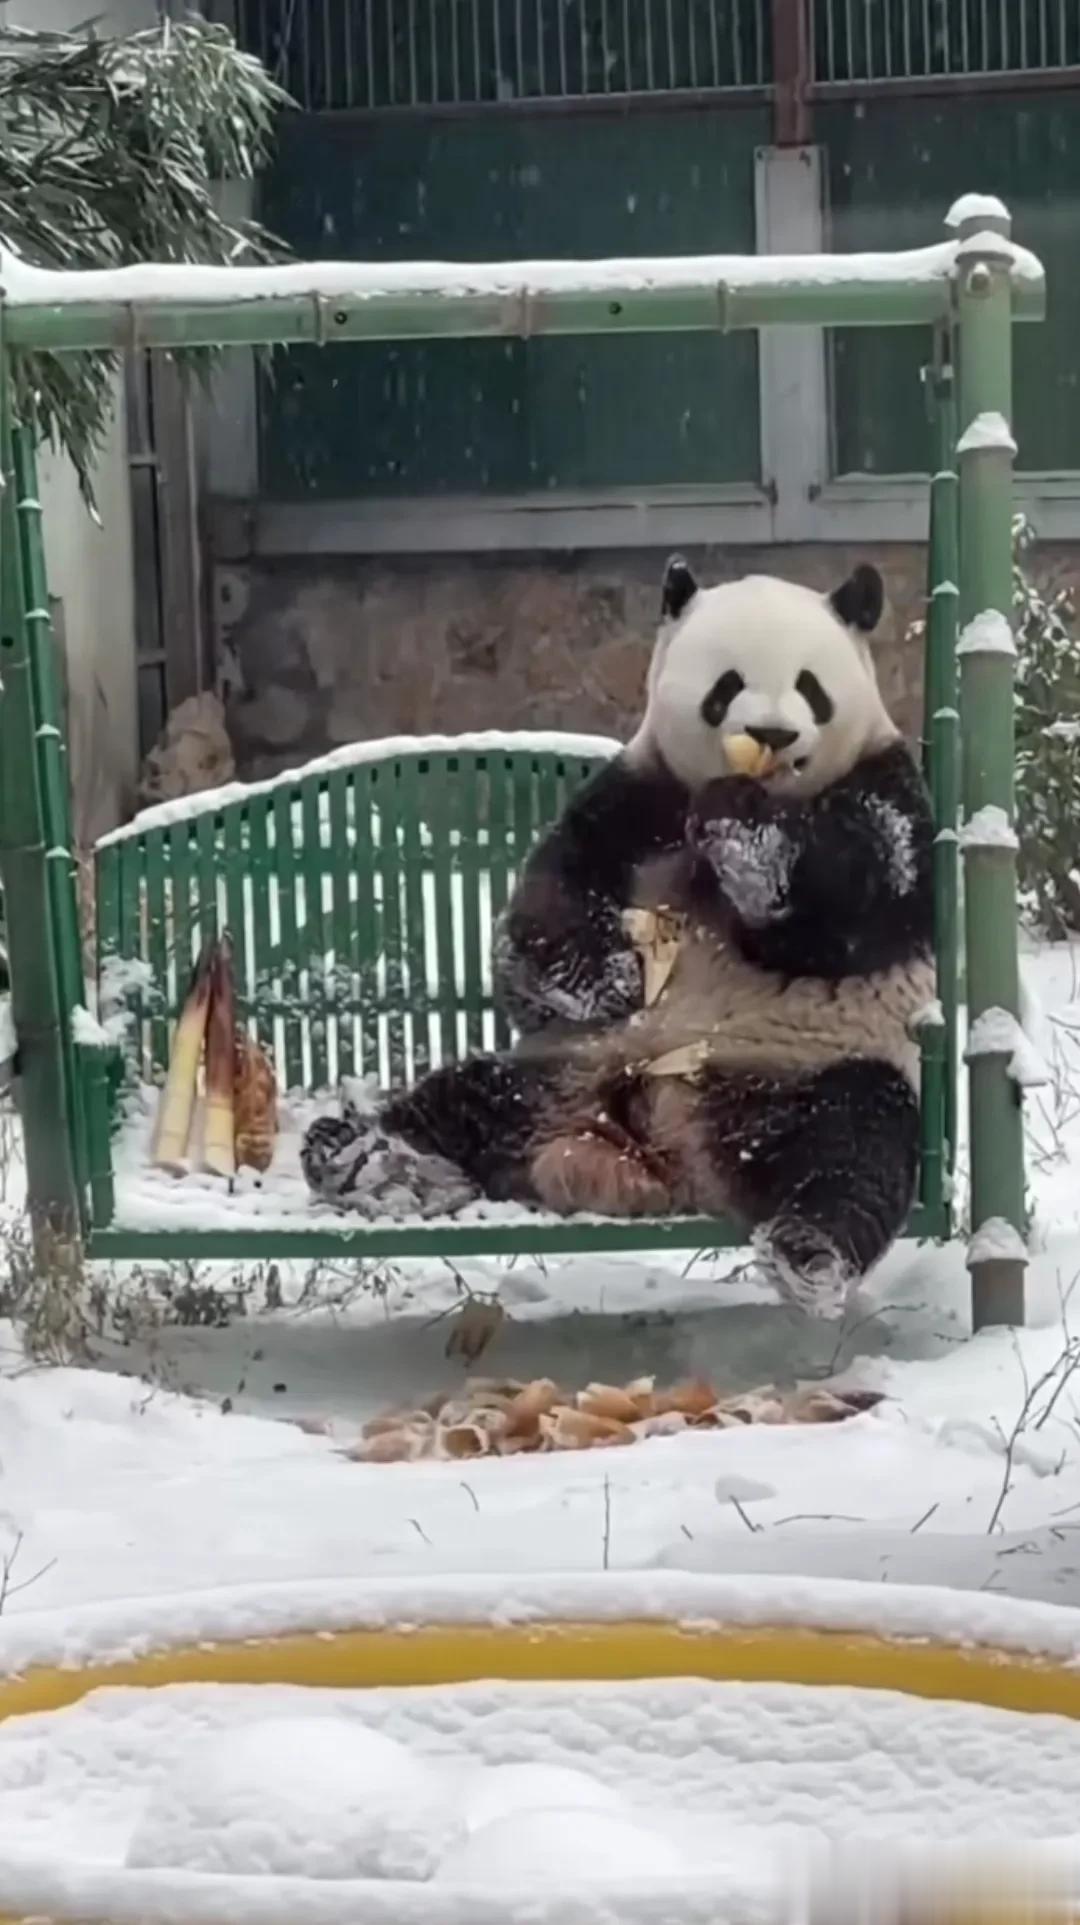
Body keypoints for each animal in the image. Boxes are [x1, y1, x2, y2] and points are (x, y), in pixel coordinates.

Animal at [304, 554, 935, 1309]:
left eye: (811, 689)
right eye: (727, 687)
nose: (773, 735)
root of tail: (665, 1158)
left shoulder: (887, 786)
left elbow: (860, 902)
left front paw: (745, 830)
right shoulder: (640, 794)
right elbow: (554, 895)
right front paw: (608, 980)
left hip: (815, 1067)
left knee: (852, 1149)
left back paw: (808, 1253)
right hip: (571, 1065)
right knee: (464, 1100)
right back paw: (362, 1156)